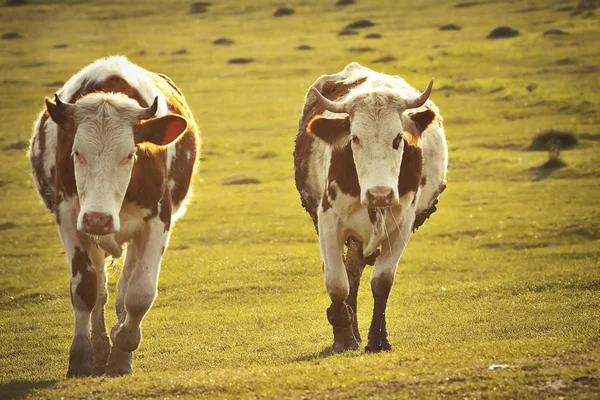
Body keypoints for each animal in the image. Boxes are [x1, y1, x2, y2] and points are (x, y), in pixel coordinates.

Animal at [29, 55, 202, 376]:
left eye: (129, 154)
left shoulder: (157, 220)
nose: (99, 219)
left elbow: (140, 293)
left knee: (124, 287)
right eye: (76, 152)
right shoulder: (70, 216)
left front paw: (123, 345)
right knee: (99, 290)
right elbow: (85, 289)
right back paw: (99, 348)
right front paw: (81, 357)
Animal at [292, 62, 448, 354]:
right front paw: (344, 339)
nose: (380, 194)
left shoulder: (403, 224)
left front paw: (378, 340)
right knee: (349, 274)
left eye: (398, 138)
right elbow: (337, 283)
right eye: (355, 138)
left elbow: (382, 281)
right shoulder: (328, 222)